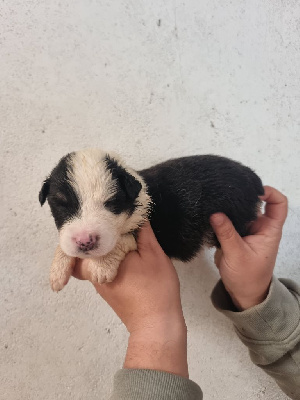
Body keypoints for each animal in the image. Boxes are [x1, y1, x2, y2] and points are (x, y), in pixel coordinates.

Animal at [39, 149, 262, 290]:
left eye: (111, 203)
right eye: (61, 205)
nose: (85, 241)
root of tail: (253, 178)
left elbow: (124, 238)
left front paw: (102, 266)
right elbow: (64, 246)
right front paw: (57, 271)